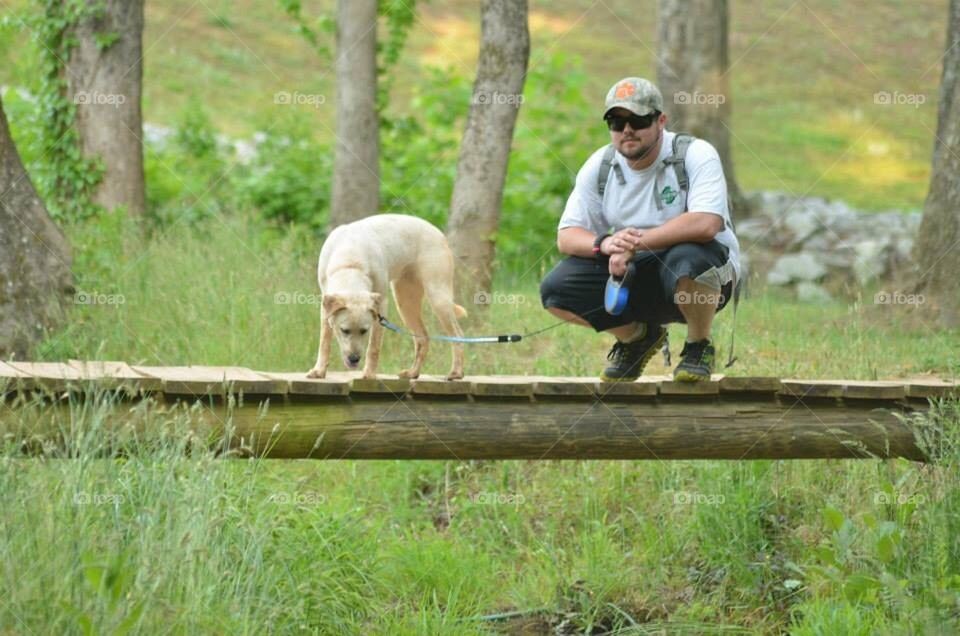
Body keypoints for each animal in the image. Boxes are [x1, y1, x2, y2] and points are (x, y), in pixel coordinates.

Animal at [310, 214, 466, 382]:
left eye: (364, 331)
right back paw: (413, 373)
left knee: (458, 335)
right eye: (344, 330)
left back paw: (456, 373)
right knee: (422, 338)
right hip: (405, 303)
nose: (354, 359)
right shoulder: (325, 308)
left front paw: (369, 375)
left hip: (438, 297)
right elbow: (324, 342)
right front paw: (318, 371)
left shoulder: (381, 307)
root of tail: (439, 233)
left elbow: (373, 347)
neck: (350, 263)